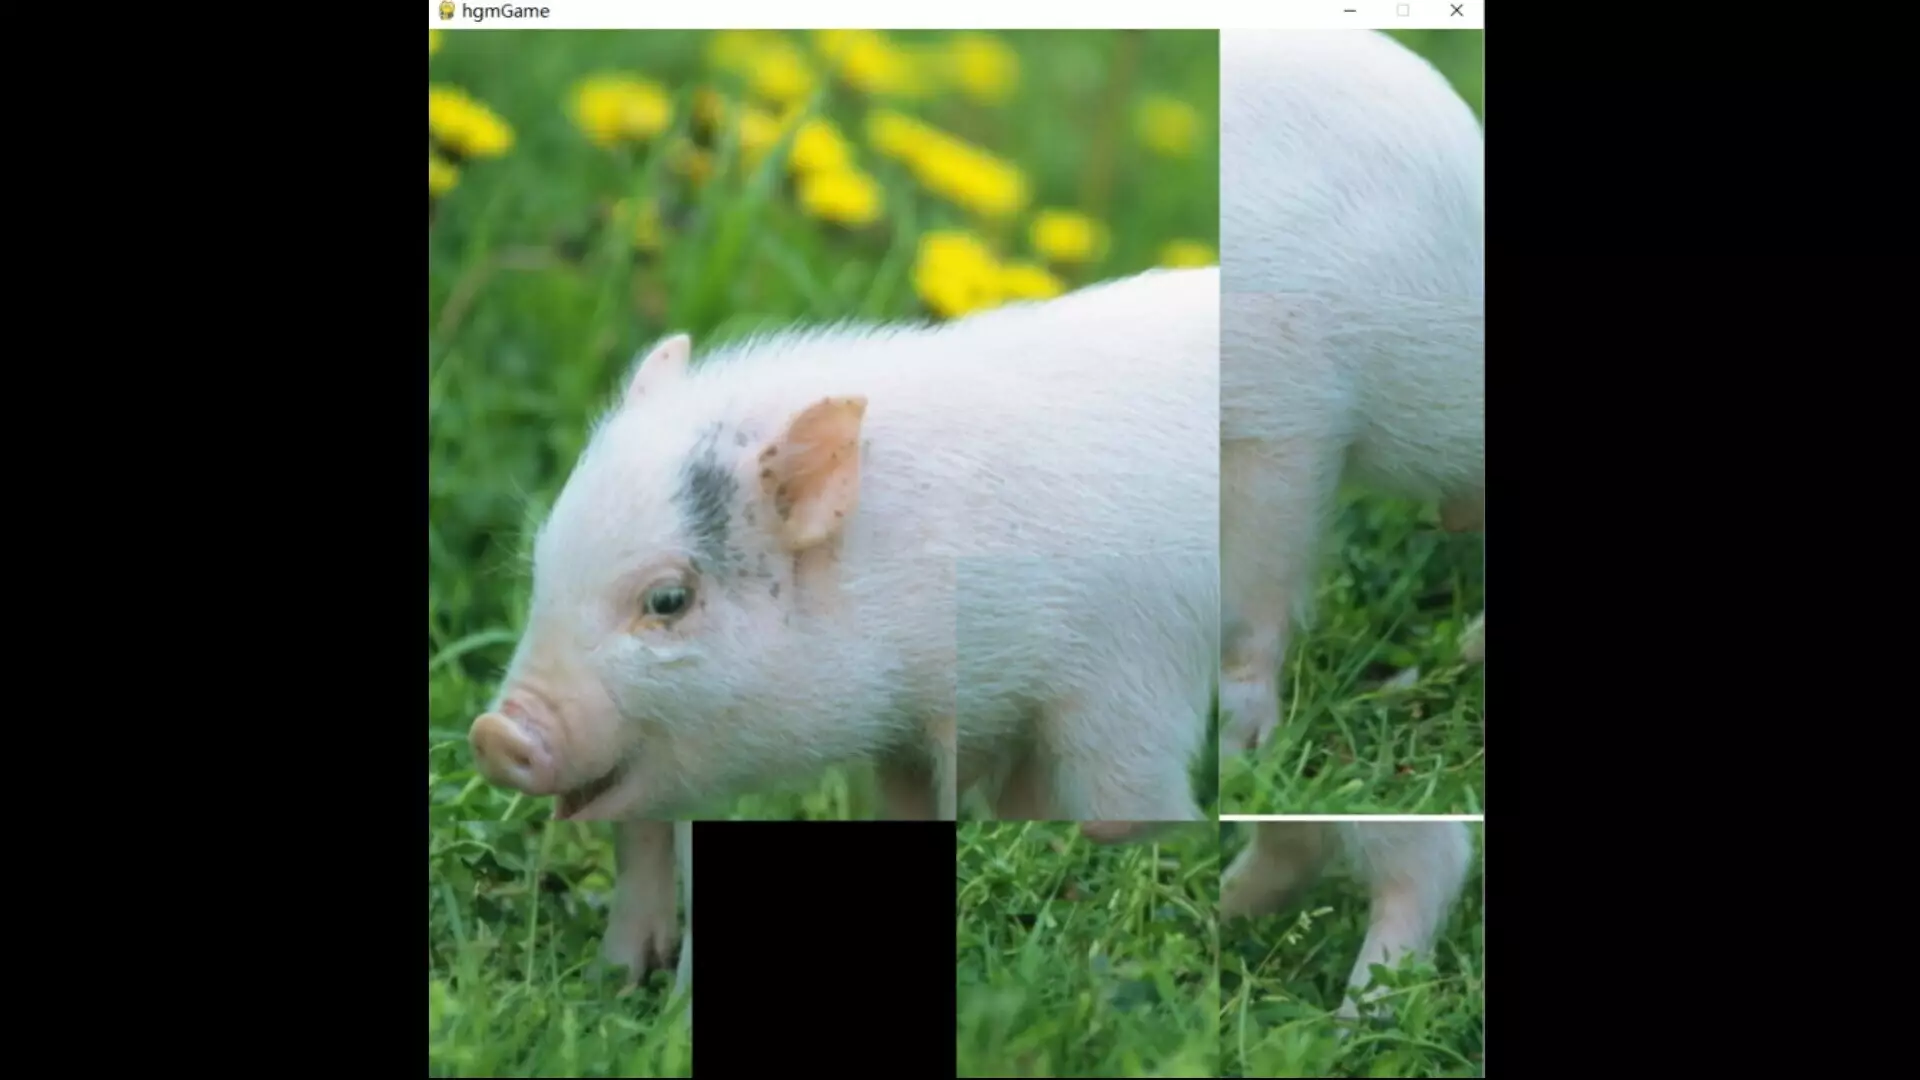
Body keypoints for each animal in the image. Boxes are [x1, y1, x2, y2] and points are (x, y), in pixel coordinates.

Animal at [467, 266, 1220, 832]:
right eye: (542, 566)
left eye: (669, 599)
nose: (494, 735)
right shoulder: (921, 742)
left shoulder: (1132, 674)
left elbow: (1131, 798)